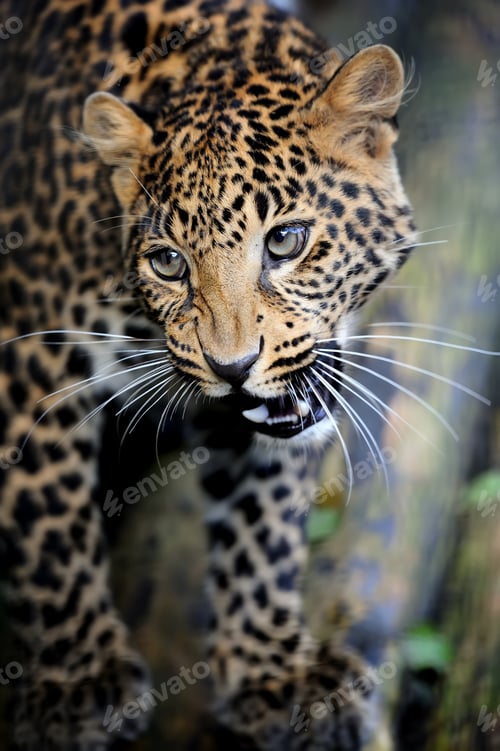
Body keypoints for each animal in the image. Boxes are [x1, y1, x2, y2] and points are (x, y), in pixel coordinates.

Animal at [0, 0, 416, 748]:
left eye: (285, 240)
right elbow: (48, 515)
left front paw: (274, 672)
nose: (233, 367)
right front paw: (81, 681)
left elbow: (263, 523)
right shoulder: (30, 354)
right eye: (168, 262)